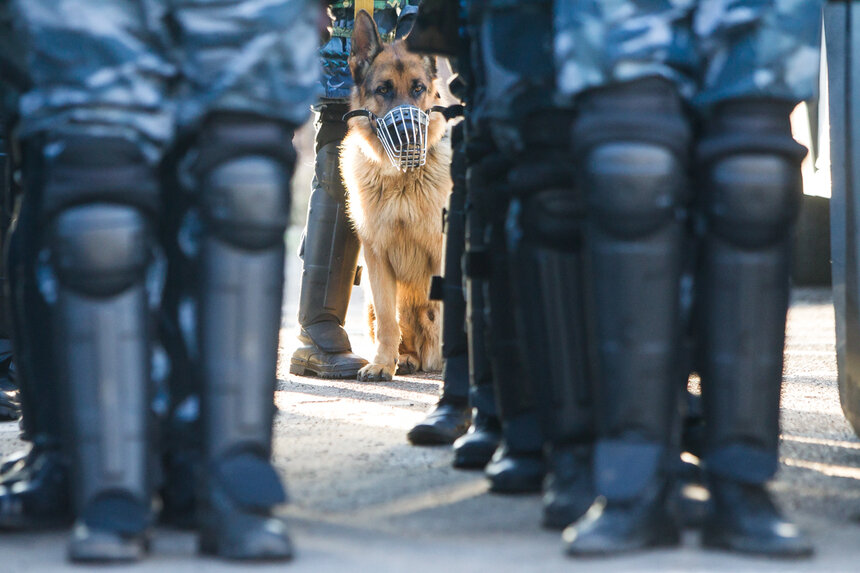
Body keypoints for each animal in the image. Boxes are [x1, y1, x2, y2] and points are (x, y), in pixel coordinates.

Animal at [340, 10, 454, 380]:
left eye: (418, 88)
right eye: (383, 90)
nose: (408, 135)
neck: (402, 180)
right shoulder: (377, 258)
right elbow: (389, 320)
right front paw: (381, 363)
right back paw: (405, 358)